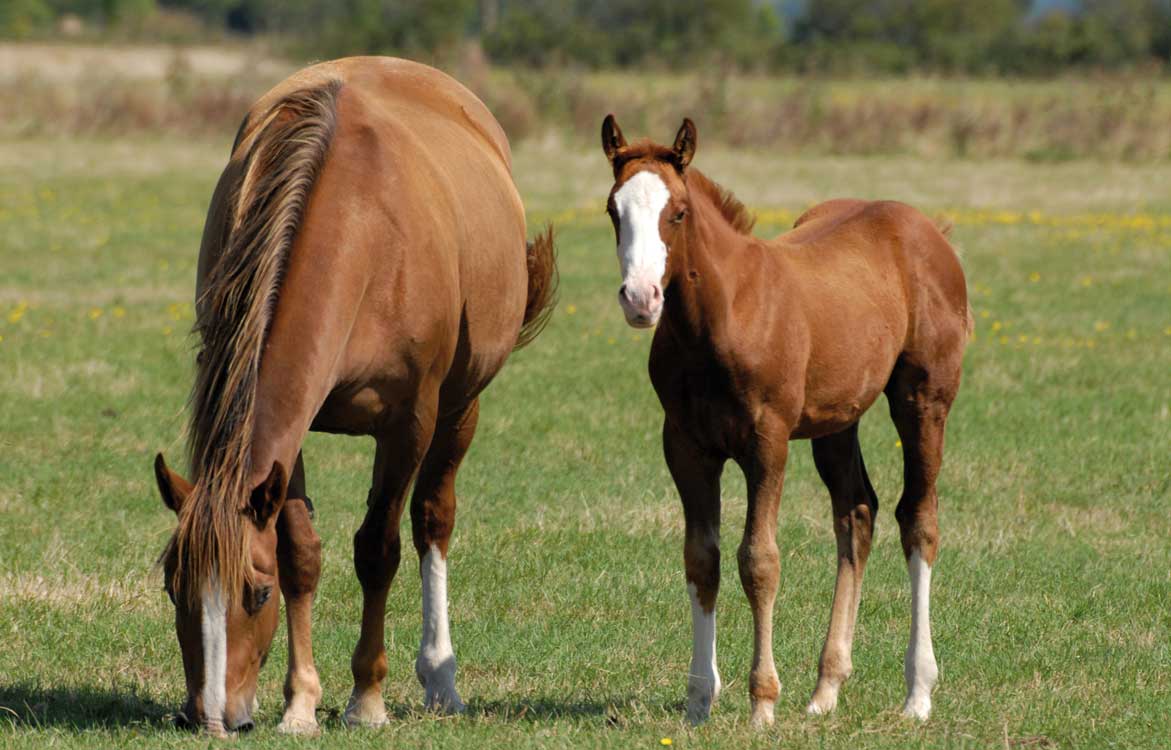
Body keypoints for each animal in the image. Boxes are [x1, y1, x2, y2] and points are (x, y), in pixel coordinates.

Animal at [149, 57, 557, 731]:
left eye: (254, 593)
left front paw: (366, 697)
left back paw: (441, 679)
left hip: (460, 407)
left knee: (432, 520)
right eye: (173, 587)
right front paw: (301, 702)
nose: (209, 718)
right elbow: (301, 553)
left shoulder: (408, 423)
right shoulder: (289, 438)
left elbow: (378, 549)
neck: (361, 228)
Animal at [599, 116, 974, 726]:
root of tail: (928, 229)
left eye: (678, 212)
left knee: (918, 519)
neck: (725, 315)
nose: (641, 299)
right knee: (857, 513)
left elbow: (760, 560)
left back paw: (918, 692)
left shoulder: (766, 442)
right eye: (613, 209)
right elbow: (701, 559)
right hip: (836, 419)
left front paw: (762, 701)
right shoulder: (685, 446)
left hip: (924, 399)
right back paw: (826, 689)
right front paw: (699, 700)